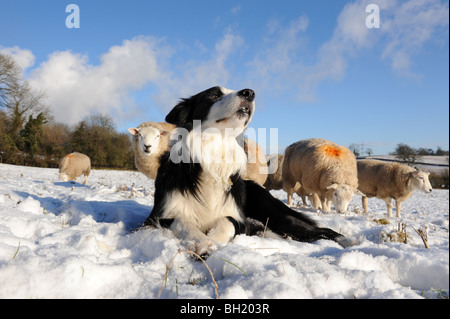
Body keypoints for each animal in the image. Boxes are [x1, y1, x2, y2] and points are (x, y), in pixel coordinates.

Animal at [146, 86, 346, 256]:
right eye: (214, 95)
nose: (249, 92)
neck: (214, 156)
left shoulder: (239, 219)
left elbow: (227, 221)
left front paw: (213, 240)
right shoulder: (156, 217)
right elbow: (182, 221)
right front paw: (203, 243)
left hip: (275, 214)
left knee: (319, 229)